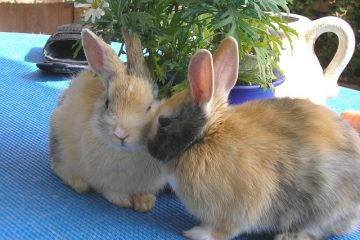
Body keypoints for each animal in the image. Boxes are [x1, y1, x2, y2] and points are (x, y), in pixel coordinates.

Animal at [50, 28, 165, 212]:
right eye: (107, 103)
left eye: (149, 107)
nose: (121, 134)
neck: (127, 152)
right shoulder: (102, 181)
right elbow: (109, 191)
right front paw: (122, 200)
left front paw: (145, 203)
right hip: (58, 138)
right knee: (58, 166)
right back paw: (78, 182)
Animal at [147, 36, 360, 239]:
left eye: (164, 121)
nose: (149, 147)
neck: (204, 137)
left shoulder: (236, 209)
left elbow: (225, 230)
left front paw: (197, 233)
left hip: (324, 207)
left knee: (317, 229)